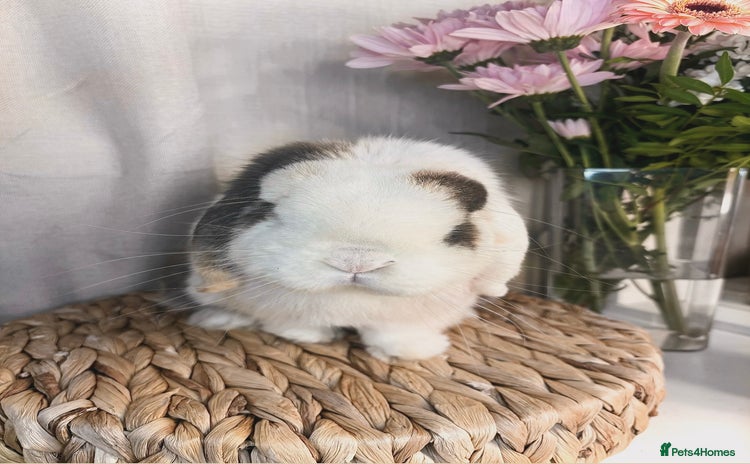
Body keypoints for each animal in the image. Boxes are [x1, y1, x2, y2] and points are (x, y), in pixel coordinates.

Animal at [185, 137, 528, 360]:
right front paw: (306, 335)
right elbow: (290, 322)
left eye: (454, 234)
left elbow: (396, 333)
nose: (356, 261)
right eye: (272, 213)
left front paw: (411, 352)